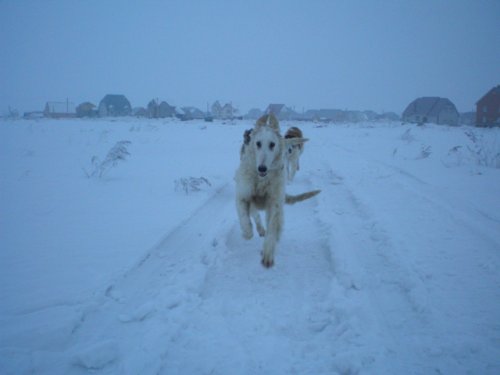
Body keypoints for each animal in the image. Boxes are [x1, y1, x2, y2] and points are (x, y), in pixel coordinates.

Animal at [235, 114, 320, 268]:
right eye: (258, 143)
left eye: (272, 144)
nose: (262, 168)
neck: (262, 180)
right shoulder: (242, 196)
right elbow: (245, 219)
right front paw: (247, 232)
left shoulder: (274, 203)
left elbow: (273, 229)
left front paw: (268, 253)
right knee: (255, 216)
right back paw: (259, 229)